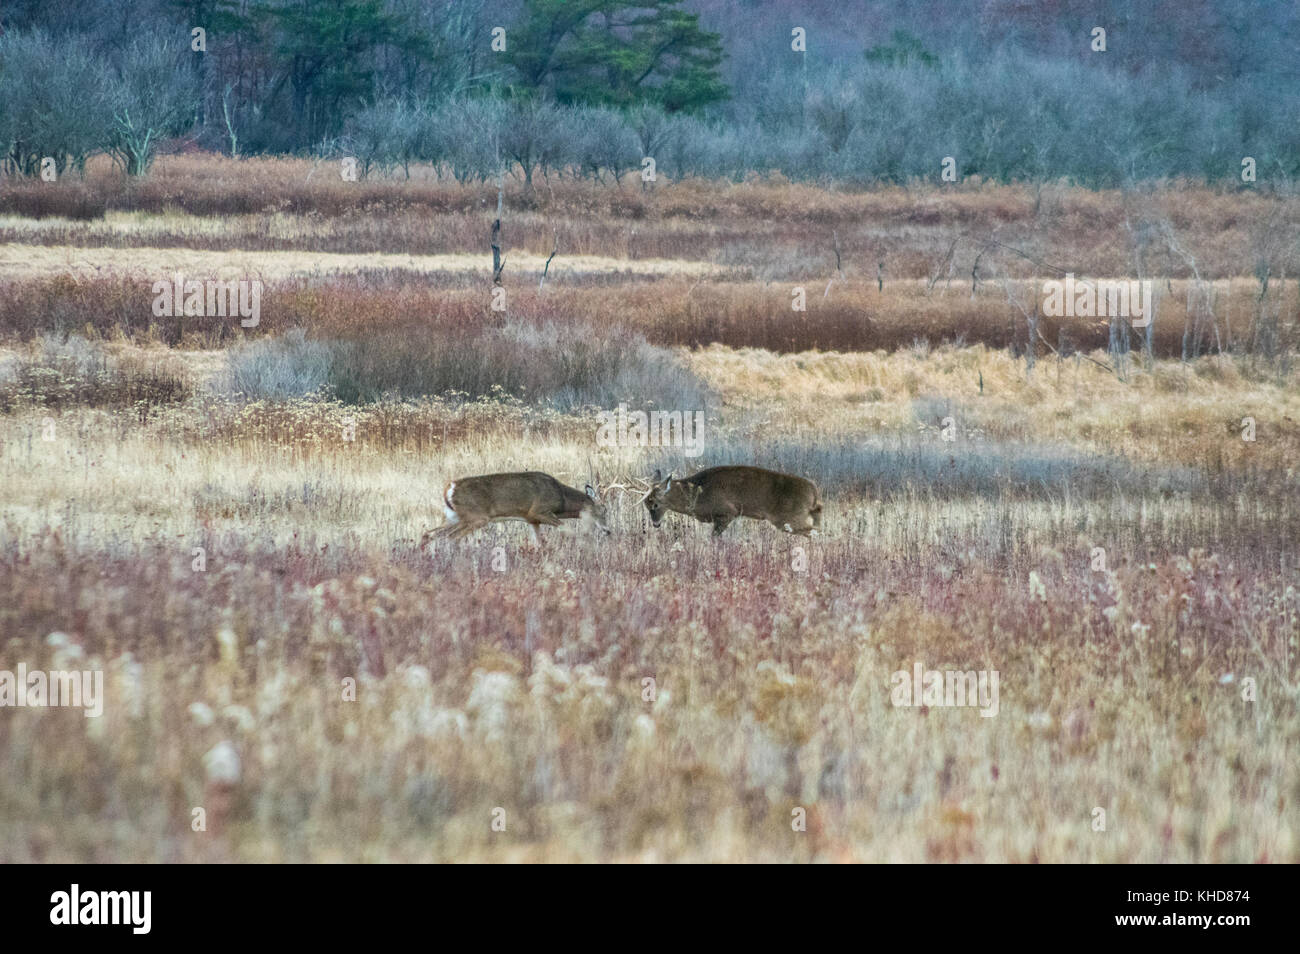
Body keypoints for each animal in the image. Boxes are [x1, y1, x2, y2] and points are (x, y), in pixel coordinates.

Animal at [426, 473, 608, 545]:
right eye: (603, 510)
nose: (608, 531)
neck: (562, 498)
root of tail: (450, 488)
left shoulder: (532, 520)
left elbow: (539, 542)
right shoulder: (539, 510)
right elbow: (567, 529)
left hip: (453, 517)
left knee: (430, 534)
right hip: (476, 517)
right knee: (450, 537)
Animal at [639, 465, 821, 538]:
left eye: (655, 504)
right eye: (646, 504)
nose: (655, 524)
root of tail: (813, 491)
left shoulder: (727, 512)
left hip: (789, 519)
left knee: (815, 533)